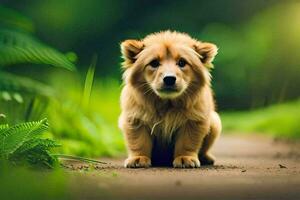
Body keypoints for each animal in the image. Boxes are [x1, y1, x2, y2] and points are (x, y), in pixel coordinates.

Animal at [118, 30, 221, 168]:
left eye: (182, 62)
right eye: (154, 63)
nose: (169, 79)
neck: (166, 104)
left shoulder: (193, 121)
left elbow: (187, 143)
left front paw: (185, 158)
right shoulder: (135, 119)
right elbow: (138, 142)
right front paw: (139, 158)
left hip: (215, 122)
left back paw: (206, 158)